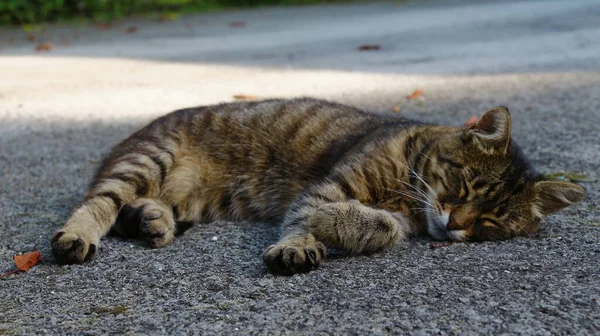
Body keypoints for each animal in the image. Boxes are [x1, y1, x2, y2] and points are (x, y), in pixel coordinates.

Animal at [50, 98, 584, 274]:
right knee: (99, 203)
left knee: (134, 209)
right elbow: (308, 212)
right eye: (464, 185)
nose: (456, 223)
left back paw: (153, 221)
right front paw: (299, 241)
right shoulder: (332, 183)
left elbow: (382, 225)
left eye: (491, 222)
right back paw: (77, 235)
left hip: (186, 198)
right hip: (145, 161)